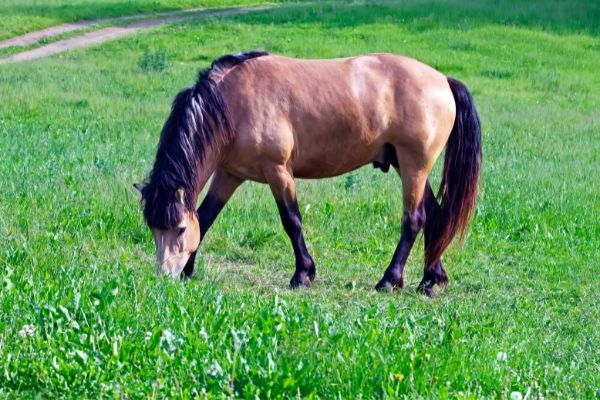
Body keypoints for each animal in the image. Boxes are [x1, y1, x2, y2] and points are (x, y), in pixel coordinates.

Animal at [134, 50, 480, 296]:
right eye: (153, 228)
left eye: (179, 228)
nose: (164, 276)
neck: (232, 102)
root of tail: (442, 80)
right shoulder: (229, 175)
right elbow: (205, 219)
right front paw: (189, 270)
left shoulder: (278, 171)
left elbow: (292, 221)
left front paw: (302, 275)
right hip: (407, 166)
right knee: (434, 215)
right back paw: (431, 280)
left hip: (413, 167)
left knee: (414, 220)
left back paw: (389, 280)